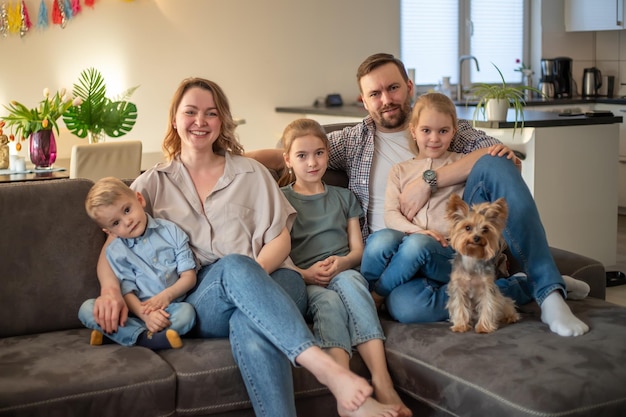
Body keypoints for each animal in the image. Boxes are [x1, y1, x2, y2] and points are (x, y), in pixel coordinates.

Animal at [444, 193, 516, 334]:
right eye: (467, 227)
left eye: (485, 229)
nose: (477, 237)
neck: (473, 257)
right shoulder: (458, 287)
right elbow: (459, 305)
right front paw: (460, 326)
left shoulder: (487, 287)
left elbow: (488, 305)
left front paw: (484, 327)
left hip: (501, 299)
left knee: (506, 303)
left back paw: (511, 317)